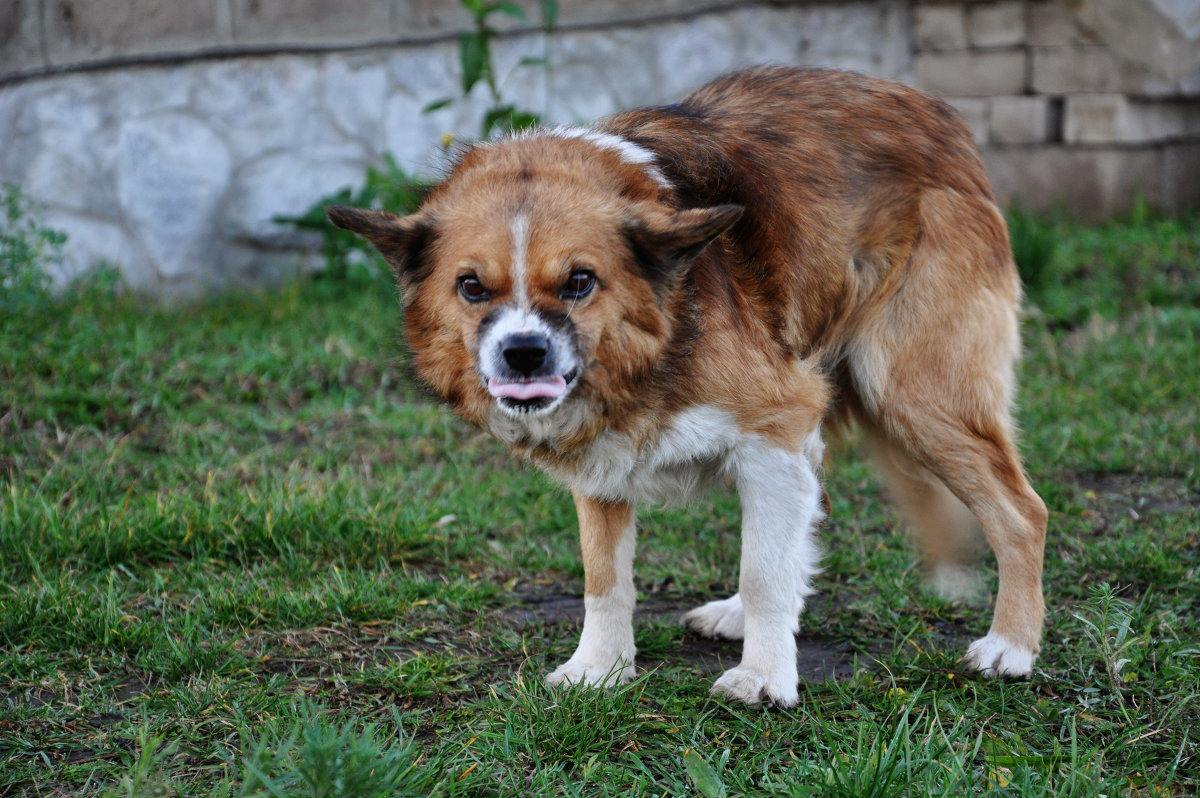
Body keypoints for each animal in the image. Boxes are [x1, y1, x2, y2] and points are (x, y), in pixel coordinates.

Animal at [324, 66, 1046, 705]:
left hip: (913, 395)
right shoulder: (602, 459)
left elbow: (763, 573)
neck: (658, 339)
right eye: (472, 287)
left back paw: (1012, 646)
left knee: (1022, 512)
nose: (523, 354)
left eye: (580, 281)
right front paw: (601, 668)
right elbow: (605, 578)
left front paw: (764, 677)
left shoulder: (775, 424)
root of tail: (937, 112)